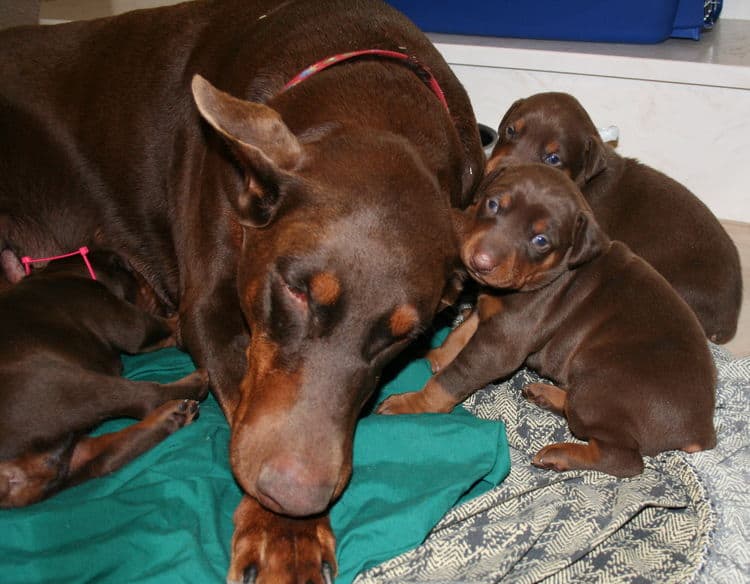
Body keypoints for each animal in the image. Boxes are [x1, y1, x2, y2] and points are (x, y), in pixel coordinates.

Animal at [0, 248, 209, 506]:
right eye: (142, 281)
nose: (166, 306)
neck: (60, 271)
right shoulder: (130, 323)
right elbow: (160, 327)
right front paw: (179, 320)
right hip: (65, 385)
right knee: (145, 397)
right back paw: (194, 383)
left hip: (69, 456)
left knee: (101, 459)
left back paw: (173, 416)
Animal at [378, 165, 720, 480]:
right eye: (493, 204)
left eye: (541, 240)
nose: (480, 262)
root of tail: (700, 431)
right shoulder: (491, 312)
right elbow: (461, 334)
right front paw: (437, 356)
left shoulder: (502, 344)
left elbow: (454, 377)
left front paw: (414, 403)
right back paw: (548, 395)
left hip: (601, 382)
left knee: (623, 459)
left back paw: (560, 454)